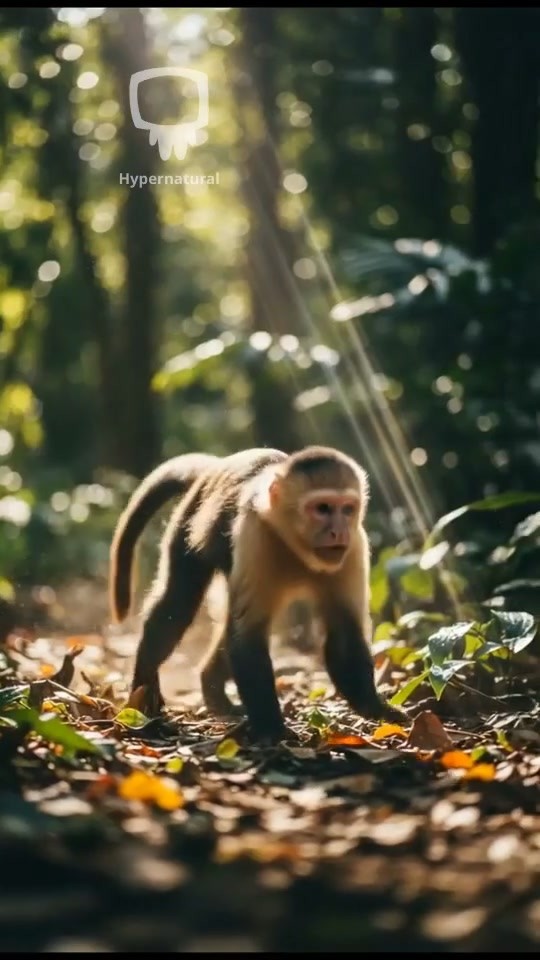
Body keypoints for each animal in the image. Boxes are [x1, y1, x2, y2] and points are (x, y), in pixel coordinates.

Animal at [109, 446, 403, 742]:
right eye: (322, 508)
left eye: (347, 509)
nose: (339, 530)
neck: (294, 545)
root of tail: (215, 467)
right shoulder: (255, 533)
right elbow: (247, 637)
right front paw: (272, 727)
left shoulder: (353, 546)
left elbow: (344, 632)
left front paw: (375, 708)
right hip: (190, 517)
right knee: (179, 602)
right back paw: (144, 689)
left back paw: (215, 694)